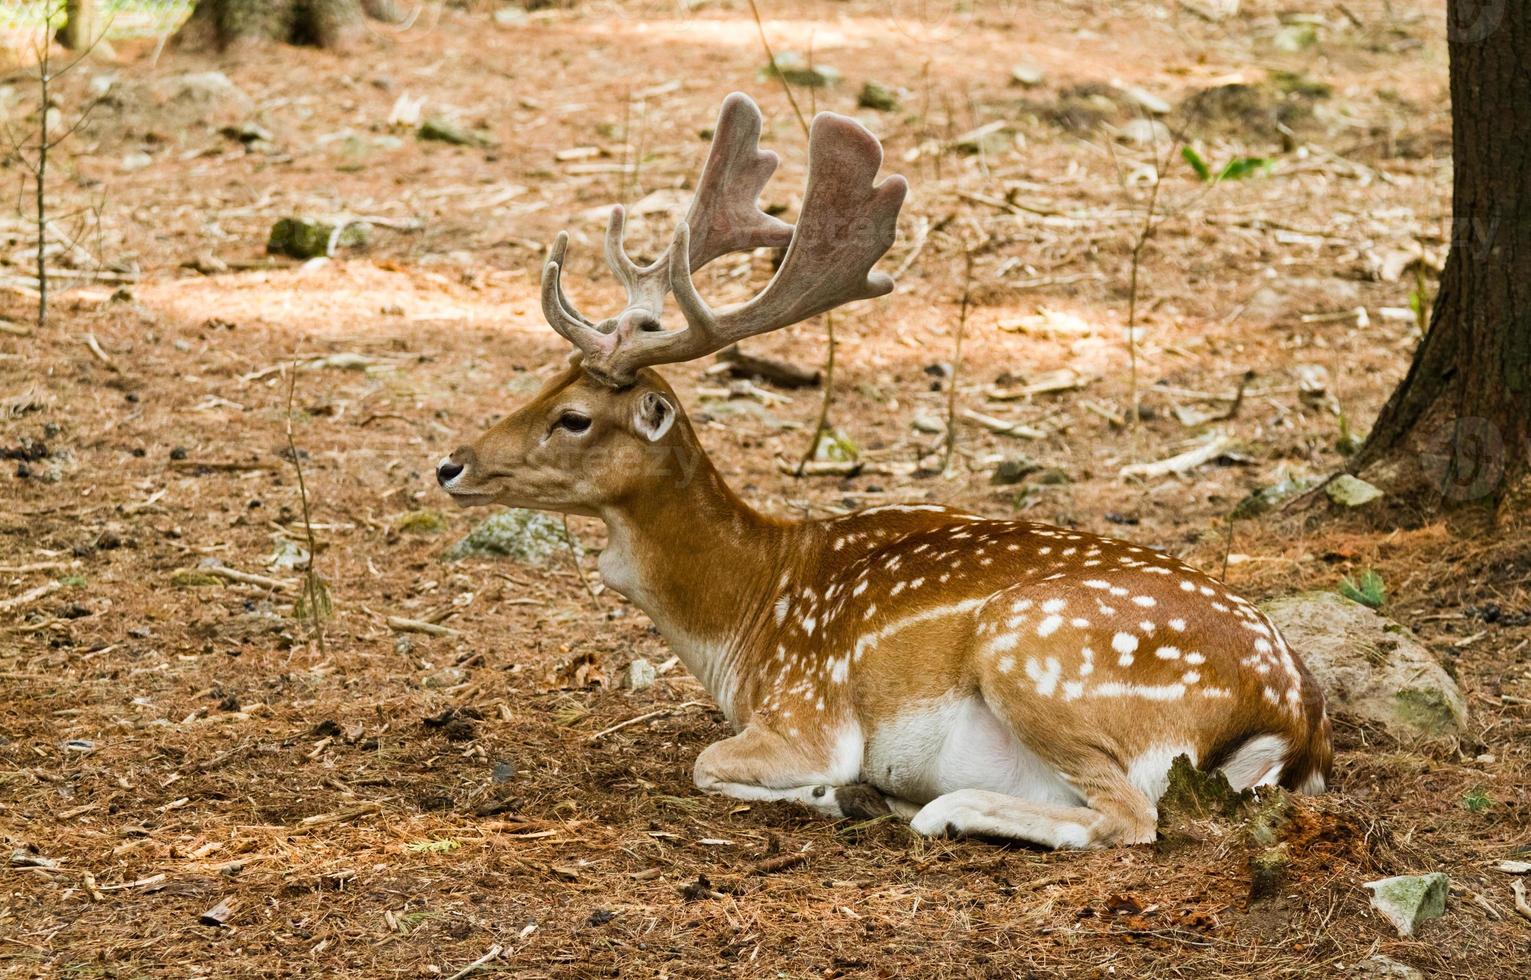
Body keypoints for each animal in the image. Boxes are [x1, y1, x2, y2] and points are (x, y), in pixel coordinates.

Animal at [434, 93, 1328, 851]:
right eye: (542, 382)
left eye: (575, 417)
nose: (450, 464)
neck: (745, 622)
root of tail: (1293, 718)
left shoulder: (808, 712)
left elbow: (709, 762)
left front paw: (841, 793)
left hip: (1034, 654)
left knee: (1129, 817)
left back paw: (932, 808)